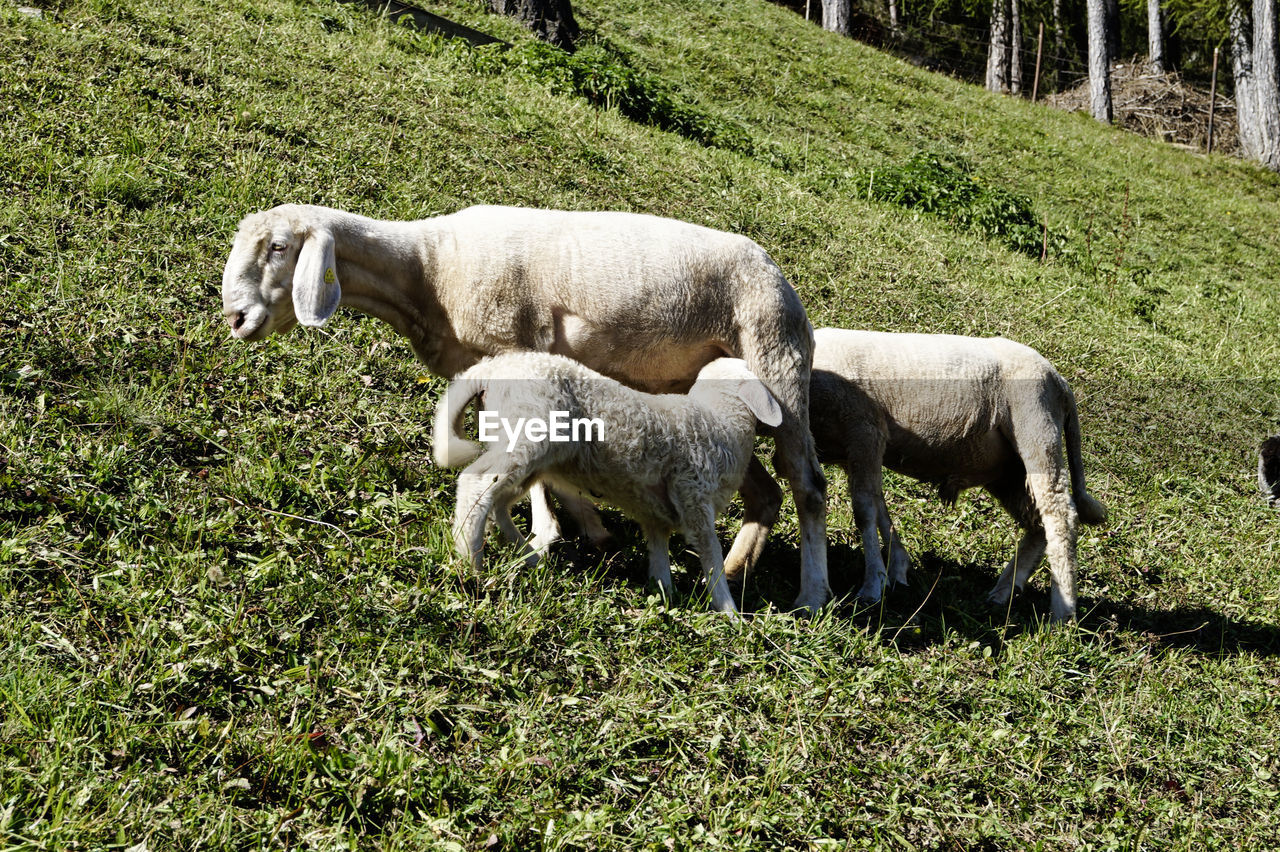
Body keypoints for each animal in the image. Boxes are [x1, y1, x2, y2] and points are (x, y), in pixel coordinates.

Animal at [430, 347, 778, 614]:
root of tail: (493, 367)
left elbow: (659, 554)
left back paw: (528, 557)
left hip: (529, 455)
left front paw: (665, 595)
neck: (718, 418)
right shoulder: (693, 496)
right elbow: (712, 556)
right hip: (526, 435)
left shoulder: (655, 512)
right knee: (477, 482)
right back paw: (471, 561)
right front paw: (730, 613)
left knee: (499, 500)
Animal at [732, 327, 1111, 621]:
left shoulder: (865, 432)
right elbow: (879, 507)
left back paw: (1062, 612)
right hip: (1005, 470)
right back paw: (1004, 591)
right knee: (1037, 523)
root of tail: (1060, 381)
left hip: (1036, 429)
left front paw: (871, 587)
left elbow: (864, 510)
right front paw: (896, 570)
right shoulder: (857, 448)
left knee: (1059, 513)